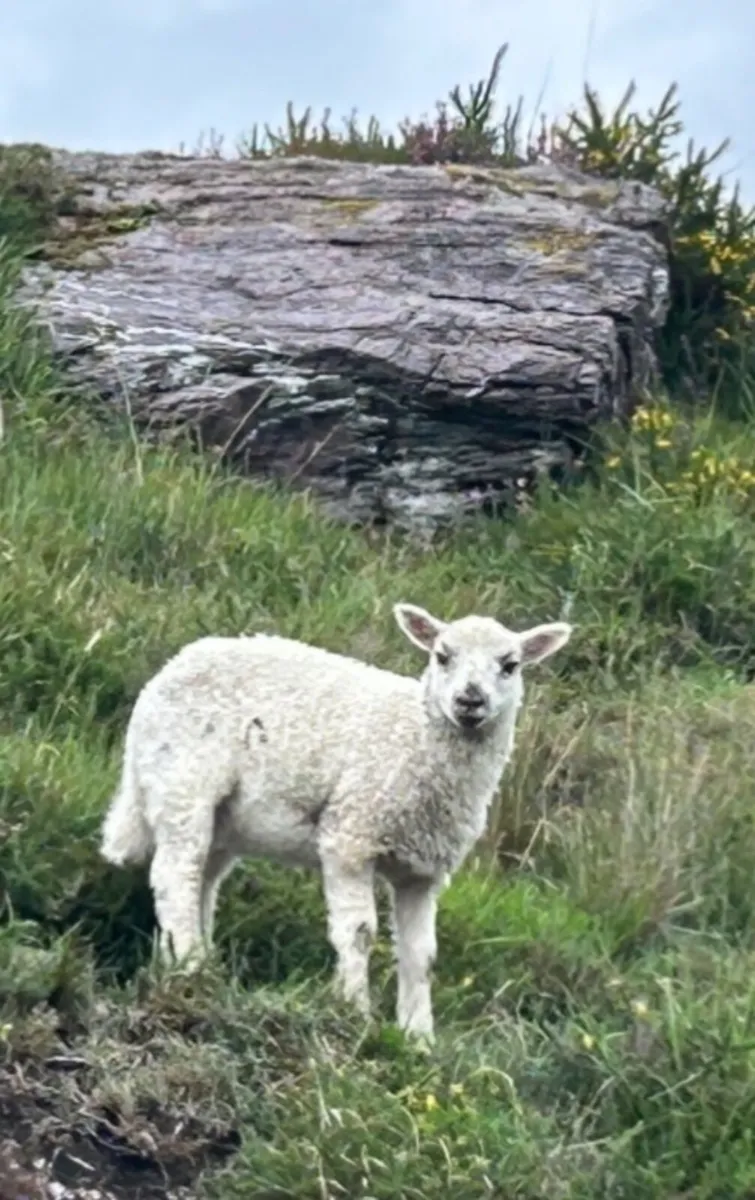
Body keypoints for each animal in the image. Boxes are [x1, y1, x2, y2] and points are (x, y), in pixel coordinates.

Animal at [100, 603, 571, 1041]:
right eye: (442, 656)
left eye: (510, 665)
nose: (470, 701)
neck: (416, 740)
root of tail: (166, 671)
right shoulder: (351, 837)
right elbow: (359, 932)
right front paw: (354, 1011)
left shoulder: (424, 870)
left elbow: (421, 955)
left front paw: (418, 1037)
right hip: (183, 781)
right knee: (174, 875)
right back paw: (191, 963)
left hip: (223, 818)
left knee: (203, 879)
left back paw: (192, 965)